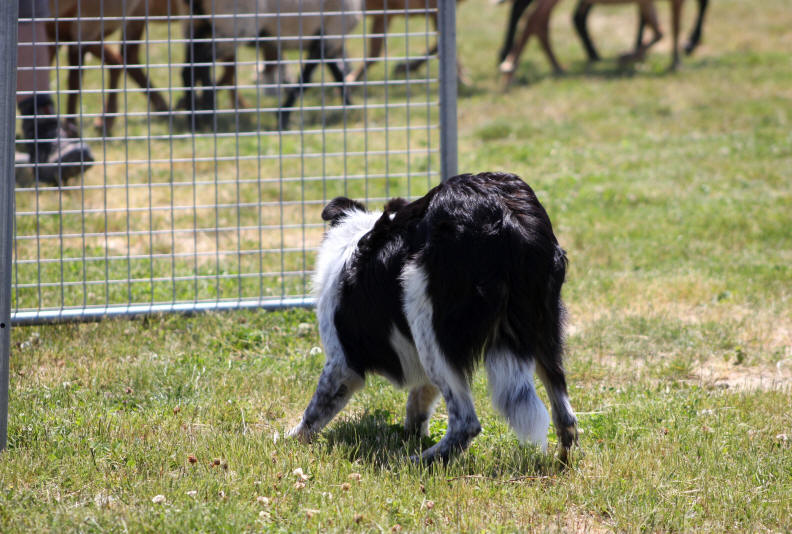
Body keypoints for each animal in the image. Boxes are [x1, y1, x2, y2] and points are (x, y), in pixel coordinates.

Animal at [288, 173, 580, 464]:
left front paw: (290, 440)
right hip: (545, 330)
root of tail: (505, 216)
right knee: (566, 416)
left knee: (466, 423)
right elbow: (419, 400)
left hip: (426, 318)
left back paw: (416, 462)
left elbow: (314, 411)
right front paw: (411, 433)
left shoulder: (342, 363)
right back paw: (563, 461)